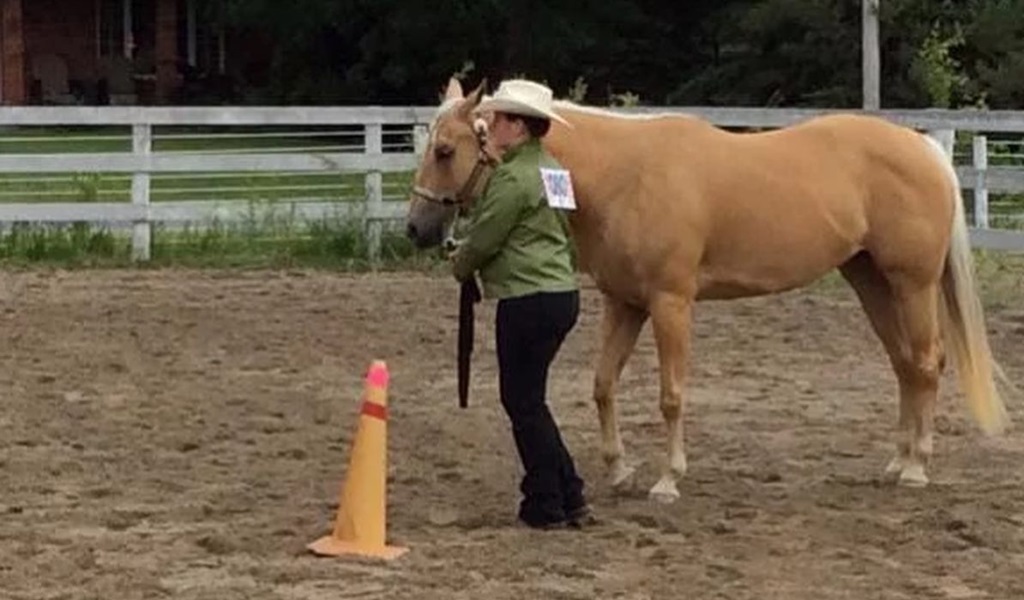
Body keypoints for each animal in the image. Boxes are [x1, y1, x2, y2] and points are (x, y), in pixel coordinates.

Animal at [404, 77, 1011, 503]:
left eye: (445, 151)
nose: (416, 229)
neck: (624, 175)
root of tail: (925, 151)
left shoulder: (671, 304)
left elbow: (671, 395)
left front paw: (667, 480)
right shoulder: (625, 304)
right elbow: (603, 386)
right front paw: (621, 472)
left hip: (912, 284)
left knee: (926, 363)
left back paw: (916, 468)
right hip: (869, 281)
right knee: (905, 365)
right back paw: (895, 462)